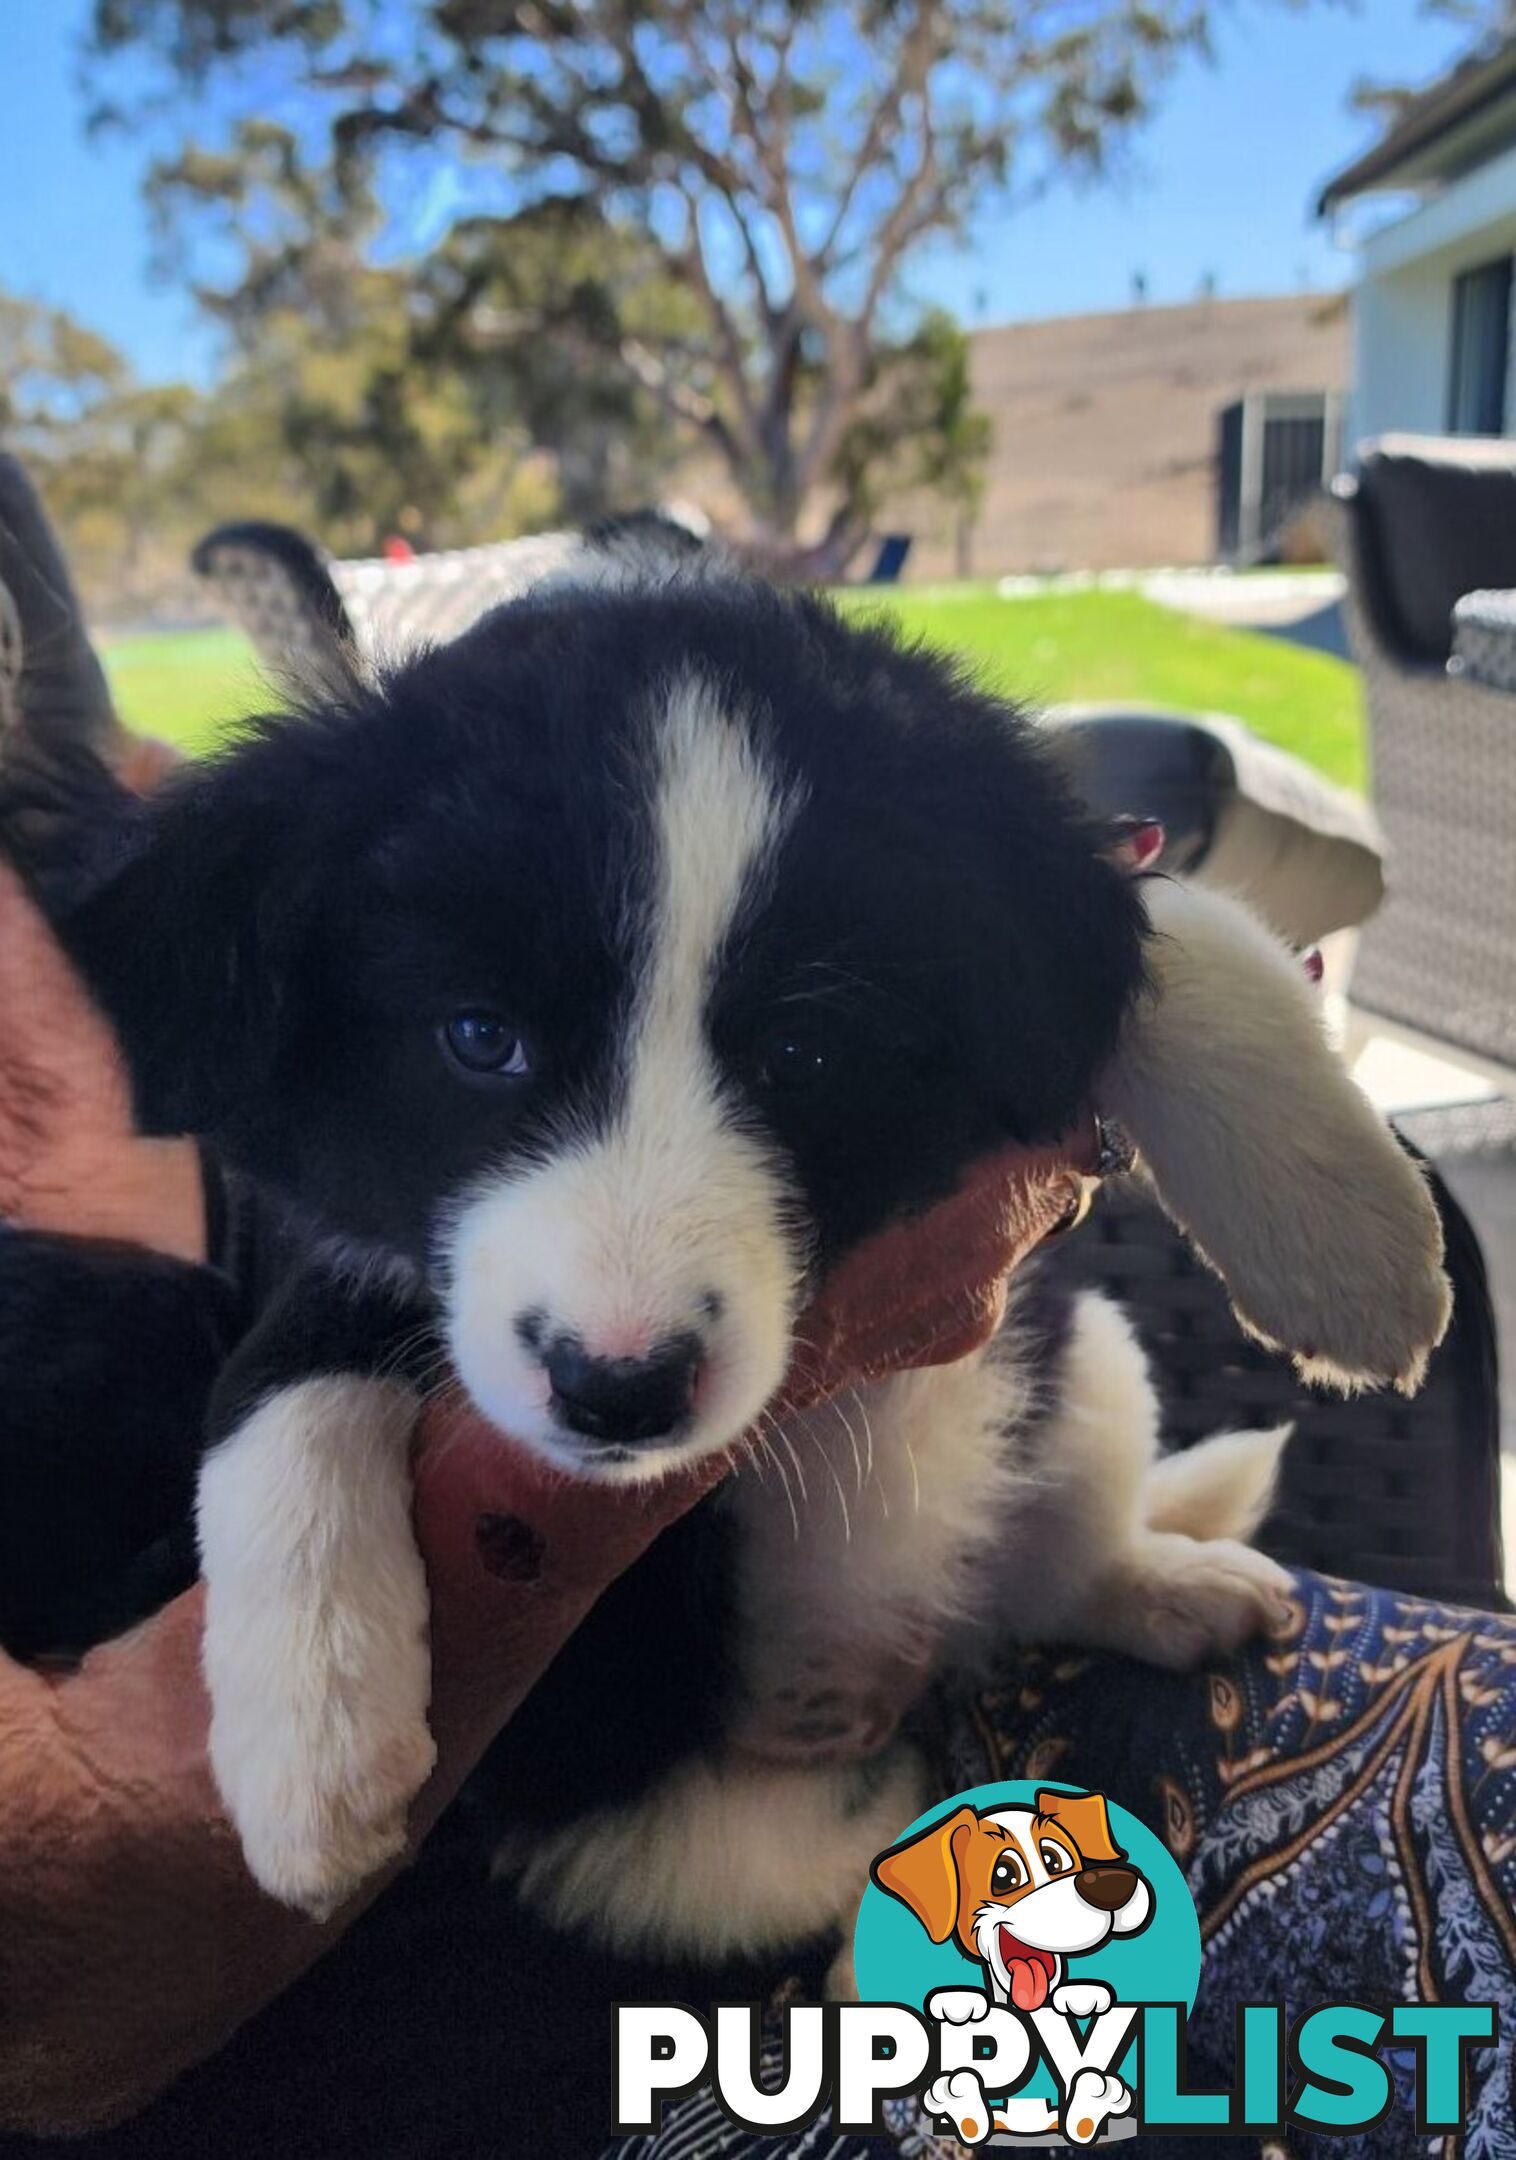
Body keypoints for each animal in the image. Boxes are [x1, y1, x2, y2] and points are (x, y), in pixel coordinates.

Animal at [0, 535, 1451, 1944]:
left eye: (803, 1053)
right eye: (478, 1037)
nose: (618, 1390)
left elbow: (1164, 928)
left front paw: (1351, 1248)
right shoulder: (339, 1216)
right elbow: (283, 1375)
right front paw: (310, 1732)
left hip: (1079, 1354)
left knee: (1048, 1564)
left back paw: (1164, 1585)